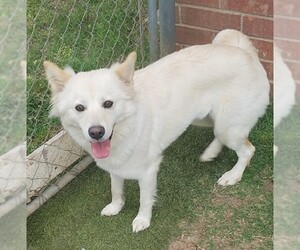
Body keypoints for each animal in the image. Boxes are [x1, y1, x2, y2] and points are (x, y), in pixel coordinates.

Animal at [42, 28, 270, 232]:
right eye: (79, 108)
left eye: (108, 104)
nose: (96, 132)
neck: (128, 126)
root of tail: (247, 53)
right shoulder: (115, 166)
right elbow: (116, 189)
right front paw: (115, 207)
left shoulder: (148, 171)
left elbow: (144, 200)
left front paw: (142, 221)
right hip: (204, 119)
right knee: (220, 135)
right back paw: (210, 153)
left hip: (227, 127)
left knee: (247, 149)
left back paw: (233, 175)